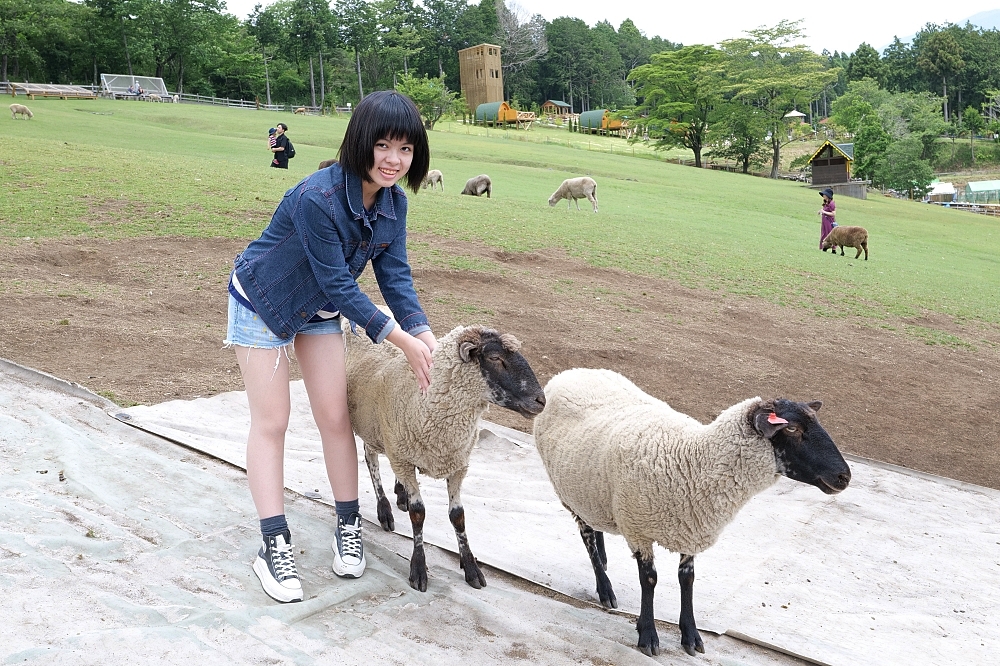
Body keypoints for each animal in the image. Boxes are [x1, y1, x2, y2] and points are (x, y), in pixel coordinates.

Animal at [344, 320, 548, 588]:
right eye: (495, 357)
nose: (541, 400)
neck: (424, 400)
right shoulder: (403, 458)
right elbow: (418, 514)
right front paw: (419, 569)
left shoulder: (458, 464)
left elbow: (457, 516)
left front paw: (471, 567)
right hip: (372, 427)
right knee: (371, 460)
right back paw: (384, 509)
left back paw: (400, 494)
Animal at [532, 366, 852, 656]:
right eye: (792, 428)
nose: (844, 476)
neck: (692, 458)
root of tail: (569, 373)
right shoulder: (638, 529)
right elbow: (650, 580)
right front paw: (648, 635)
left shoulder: (691, 527)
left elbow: (687, 581)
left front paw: (691, 636)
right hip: (567, 489)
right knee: (586, 535)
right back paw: (605, 588)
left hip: (591, 489)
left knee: (595, 524)